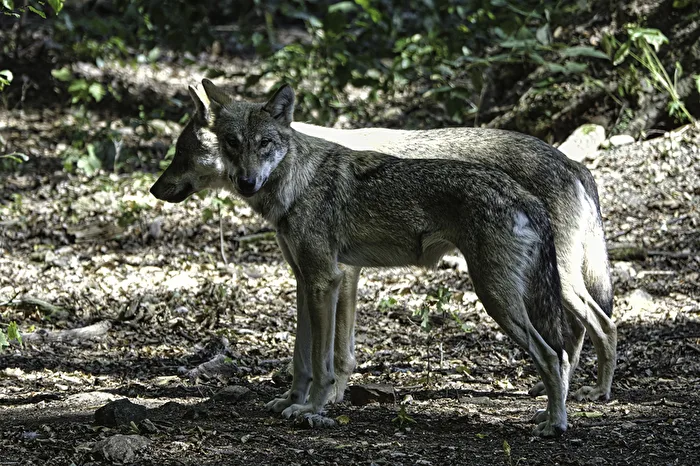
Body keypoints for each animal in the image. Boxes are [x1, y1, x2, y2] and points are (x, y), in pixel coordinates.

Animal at [152, 79, 576, 437]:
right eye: (231, 143)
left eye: (264, 143)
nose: (246, 182)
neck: (296, 183)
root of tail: (528, 197)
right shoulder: (305, 282)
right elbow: (300, 359)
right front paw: (291, 401)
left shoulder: (326, 280)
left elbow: (322, 363)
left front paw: (313, 410)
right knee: (559, 354)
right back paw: (549, 415)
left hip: (495, 298)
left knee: (552, 355)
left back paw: (555, 424)